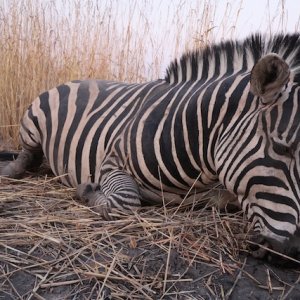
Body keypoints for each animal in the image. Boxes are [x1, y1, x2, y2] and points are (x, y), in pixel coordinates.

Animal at [1, 34, 300, 262]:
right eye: (281, 148)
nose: (291, 252)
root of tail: (78, 79)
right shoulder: (111, 161)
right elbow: (125, 201)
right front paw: (87, 190)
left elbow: (223, 199)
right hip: (32, 123)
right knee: (29, 154)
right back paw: (11, 169)